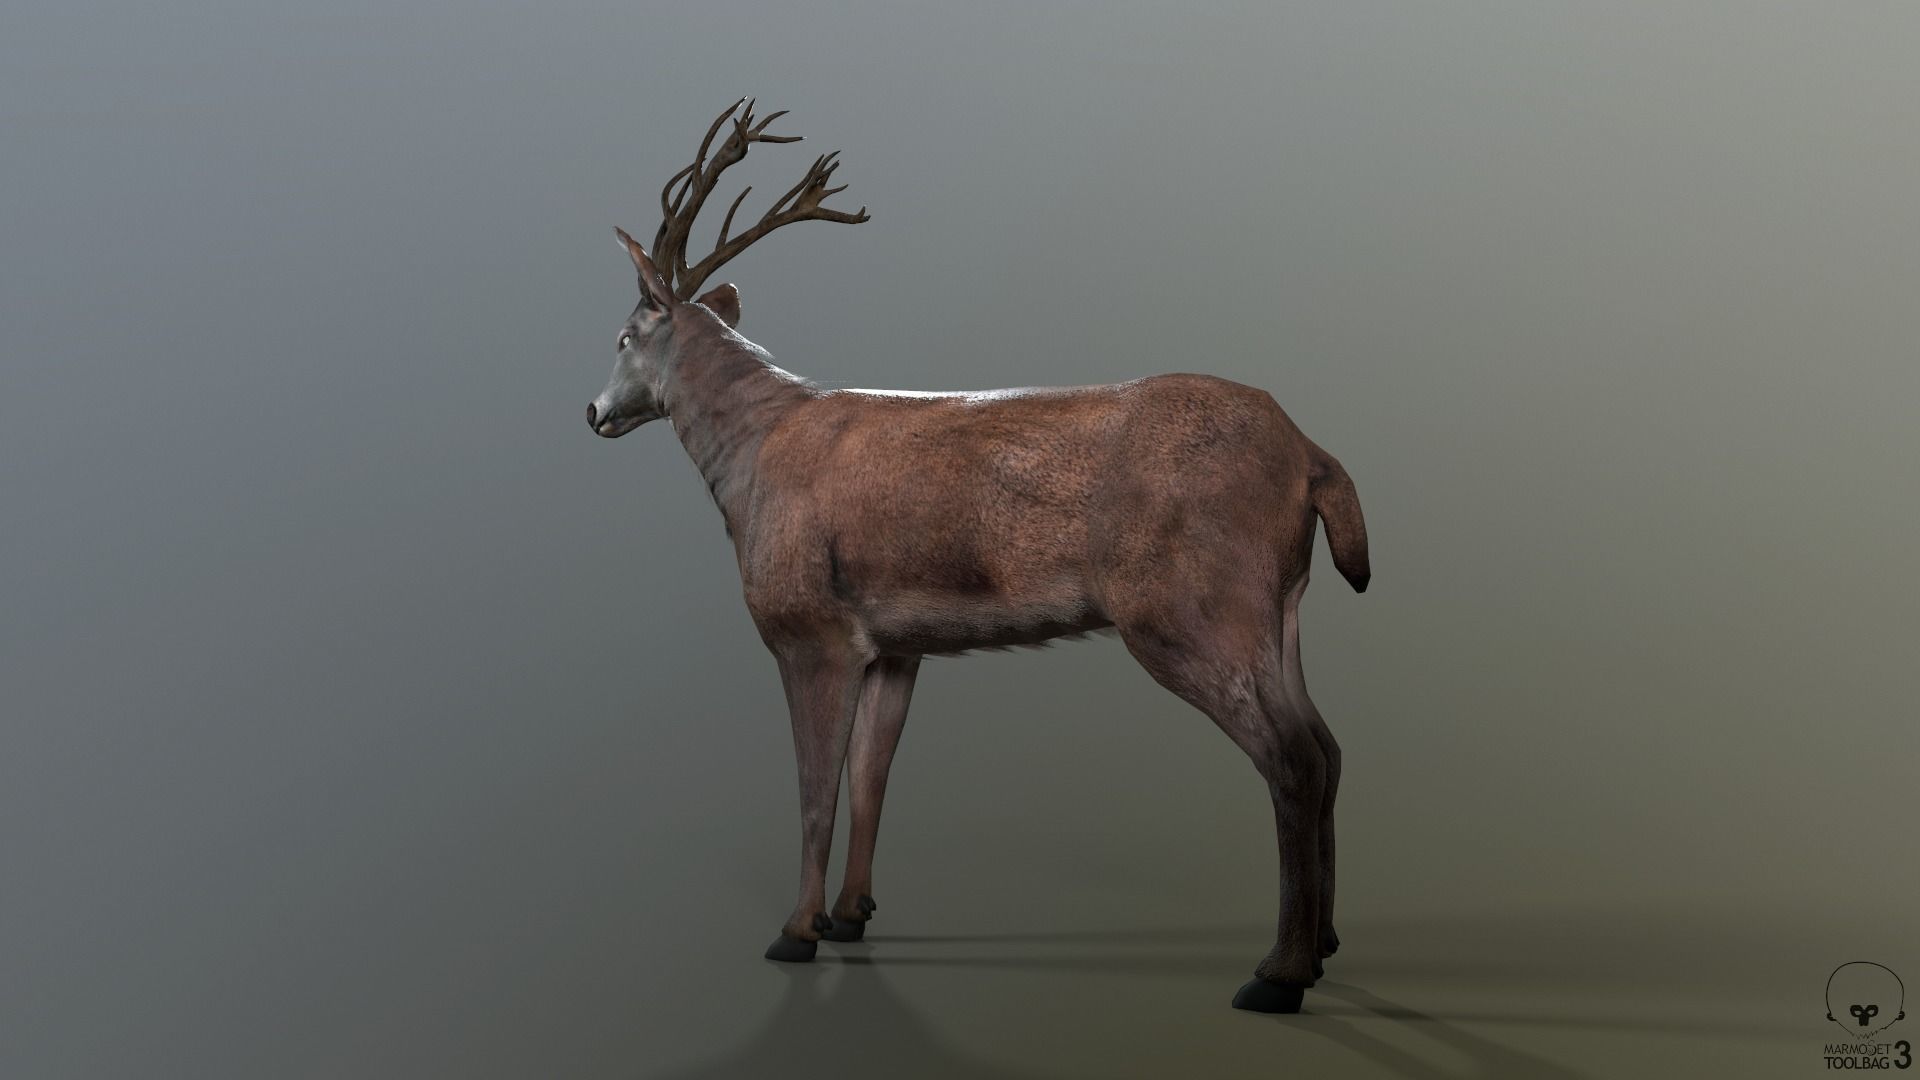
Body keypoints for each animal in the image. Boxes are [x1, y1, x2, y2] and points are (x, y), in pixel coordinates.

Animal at [585, 99, 1371, 1014]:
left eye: (624, 335)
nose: (593, 412)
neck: (748, 458)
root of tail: (1311, 456)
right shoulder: (895, 644)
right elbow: (871, 780)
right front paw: (850, 915)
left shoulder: (808, 626)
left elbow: (816, 789)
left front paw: (795, 931)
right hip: (1280, 606)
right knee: (1328, 744)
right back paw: (1323, 945)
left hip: (1193, 604)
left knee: (1292, 756)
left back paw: (1278, 974)